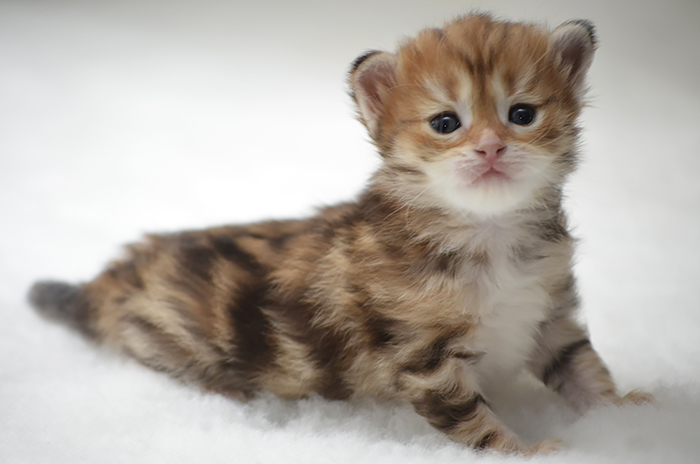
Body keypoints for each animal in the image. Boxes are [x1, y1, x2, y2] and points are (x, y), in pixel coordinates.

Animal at [28, 14, 652, 454]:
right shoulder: (423, 359)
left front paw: (626, 412)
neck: (487, 231)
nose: (492, 148)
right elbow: (473, 419)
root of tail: (110, 279)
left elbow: (581, 367)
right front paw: (530, 450)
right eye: (446, 123)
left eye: (522, 115)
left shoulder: (548, 313)